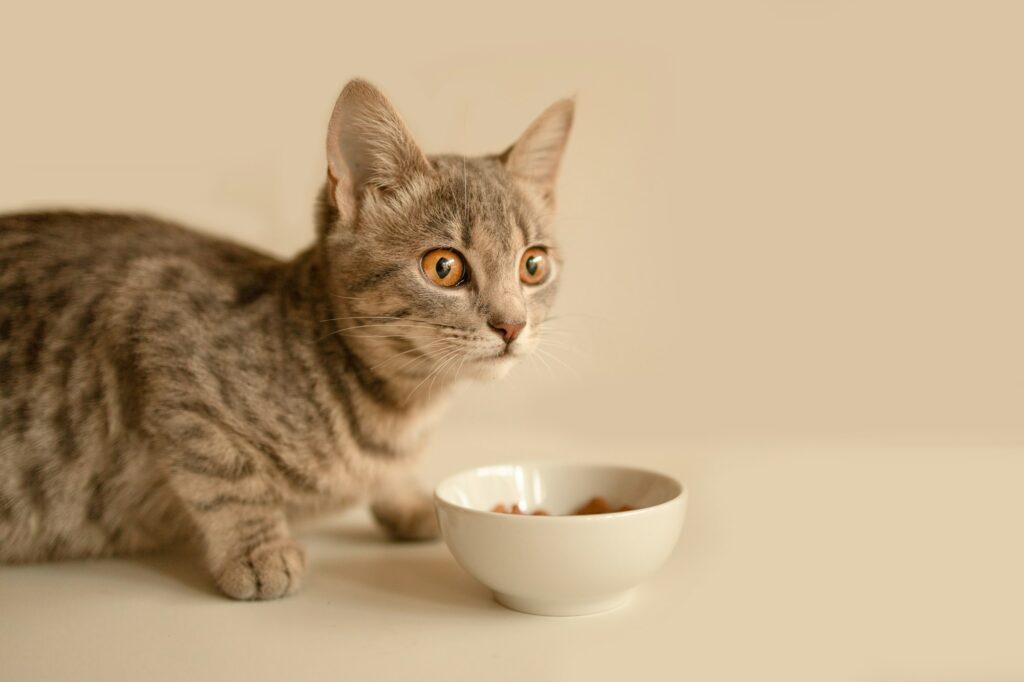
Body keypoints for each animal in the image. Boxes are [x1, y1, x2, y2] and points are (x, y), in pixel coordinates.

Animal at [0, 79, 577, 598]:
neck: (400, 413)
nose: (511, 325)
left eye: (532, 266)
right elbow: (223, 472)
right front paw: (257, 550)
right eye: (444, 267)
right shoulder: (154, 321)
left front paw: (409, 498)